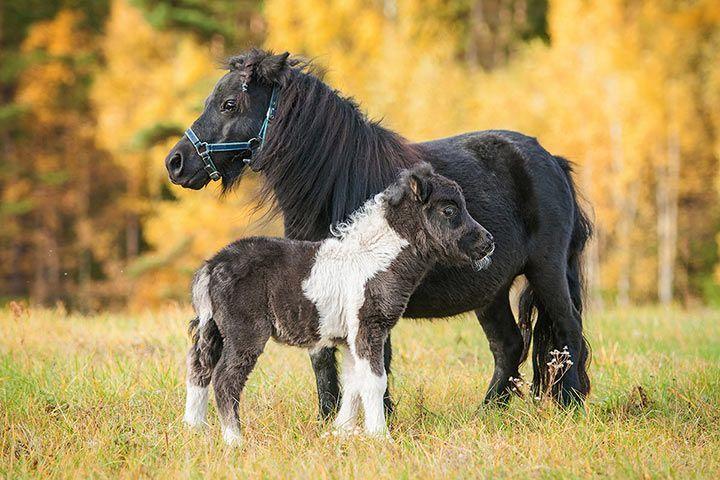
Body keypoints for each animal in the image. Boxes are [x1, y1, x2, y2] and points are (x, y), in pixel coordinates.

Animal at [183, 163, 496, 444]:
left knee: (199, 369)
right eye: (449, 210)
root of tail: (211, 266)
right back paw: (234, 440)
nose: (488, 242)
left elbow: (354, 383)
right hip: (244, 331)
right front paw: (380, 437)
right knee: (225, 378)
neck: (376, 258)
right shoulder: (368, 328)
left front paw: (340, 432)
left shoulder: (349, 337)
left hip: (212, 328)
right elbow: (374, 380)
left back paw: (195, 431)